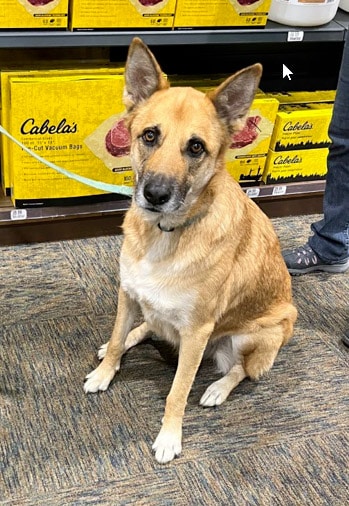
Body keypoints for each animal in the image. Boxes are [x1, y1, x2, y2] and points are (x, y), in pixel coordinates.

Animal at [84, 38, 296, 466]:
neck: (163, 235)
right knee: (146, 326)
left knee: (242, 370)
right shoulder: (127, 294)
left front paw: (169, 437)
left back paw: (217, 388)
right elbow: (115, 339)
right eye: (150, 136)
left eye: (196, 147)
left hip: (254, 335)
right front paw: (106, 371)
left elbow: (177, 392)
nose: (155, 195)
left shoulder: (197, 333)